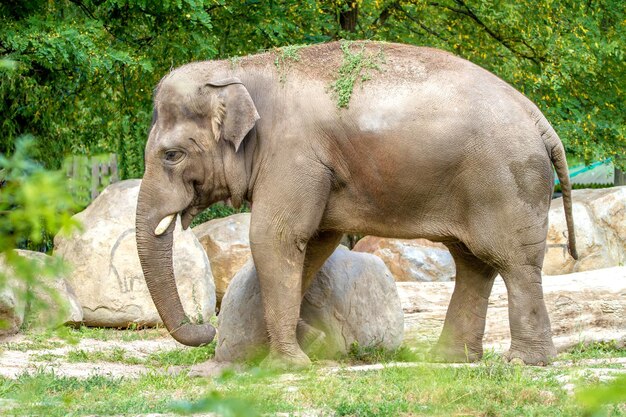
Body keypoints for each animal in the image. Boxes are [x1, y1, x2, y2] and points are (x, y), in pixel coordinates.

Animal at [135, 40, 576, 368]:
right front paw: (282, 350)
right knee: (473, 263)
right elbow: (314, 242)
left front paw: (285, 364)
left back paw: (524, 362)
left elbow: (274, 237)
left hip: (505, 182)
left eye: (171, 155)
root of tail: (540, 120)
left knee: (512, 262)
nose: (205, 328)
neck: (238, 69)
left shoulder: (293, 154)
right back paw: (449, 359)